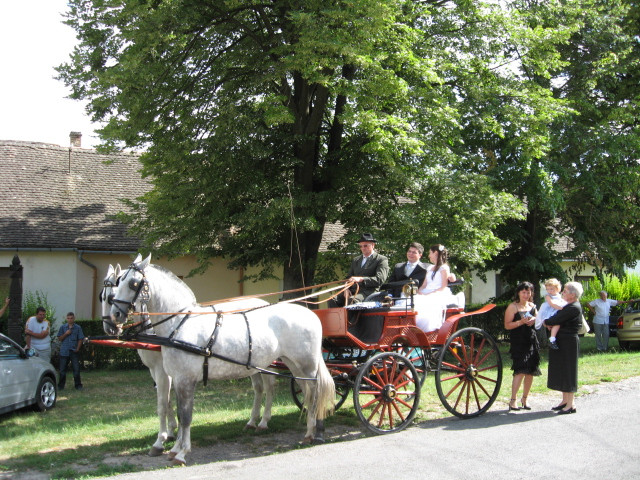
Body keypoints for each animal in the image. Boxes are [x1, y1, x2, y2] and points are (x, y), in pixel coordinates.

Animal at [111, 255, 336, 464]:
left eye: (132, 283)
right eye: (118, 281)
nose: (114, 316)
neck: (180, 322)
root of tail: (311, 314)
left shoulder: (185, 379)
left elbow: (186, 416)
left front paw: (182, 453)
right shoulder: (176, 378)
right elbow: (180, 413)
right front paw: (175, 449)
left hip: (307, 366)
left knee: (314, 394)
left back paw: (314, 432)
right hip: (293, 364)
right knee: (306, 393)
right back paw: (308, 432)